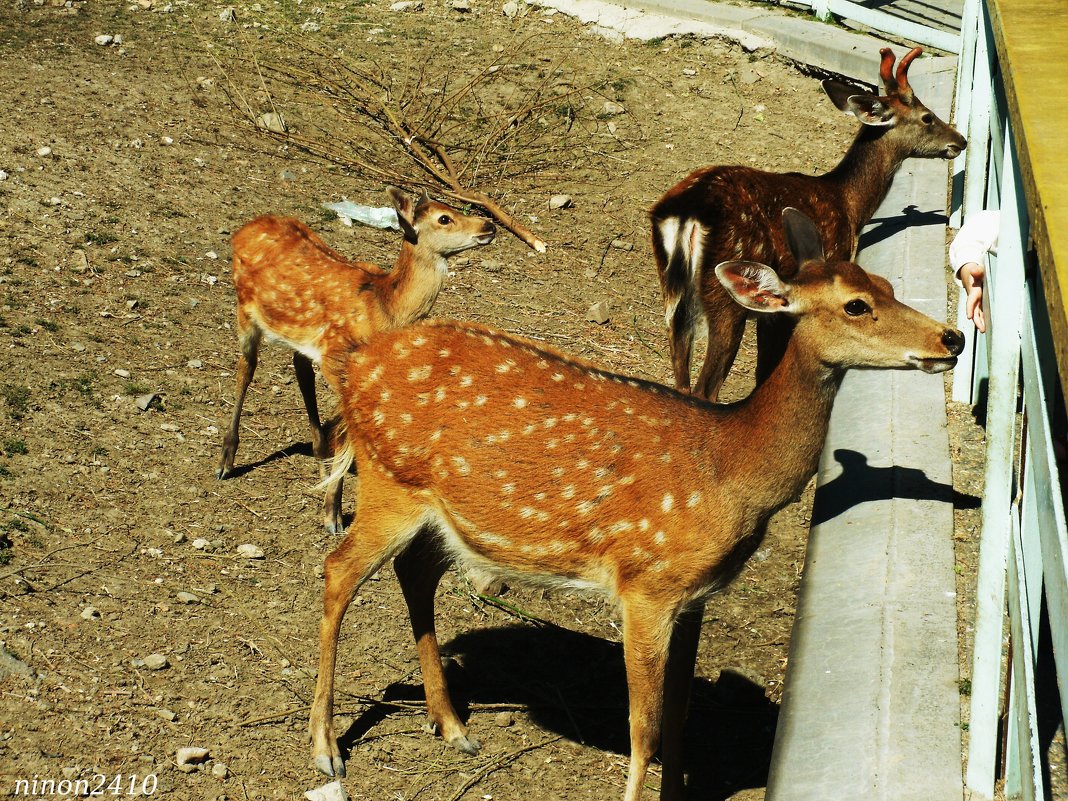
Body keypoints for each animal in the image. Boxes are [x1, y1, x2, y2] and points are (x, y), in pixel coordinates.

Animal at [217, 183, 499, 534]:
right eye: (444, 218)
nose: (489, 224)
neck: (385, 308)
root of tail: (243, 229)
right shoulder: (337, 357)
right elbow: (345, 433)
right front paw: (333, 515)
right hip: (244, 307)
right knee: (246, 367)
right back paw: (226, 461)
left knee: (300, 368)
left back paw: (320, 460)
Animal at [305, 208, 965, 801]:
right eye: (856, 305)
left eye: (886, 285)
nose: (951, 338)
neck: (732, 472)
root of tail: (354, 363)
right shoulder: (645, 583)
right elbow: (642, 730)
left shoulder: (696, 593)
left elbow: (678, 719)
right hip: (390, 480)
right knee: (337, 570)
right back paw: (326, 749)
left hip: (448, 515)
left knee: (413, 571)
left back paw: (452, 725)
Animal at [649, 45, 969, 401]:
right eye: (927, 116)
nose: (960, 140)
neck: (850, 204)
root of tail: (685, 214)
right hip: (725, 297)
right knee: (706, 387)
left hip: (674, 294)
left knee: (680, 373)